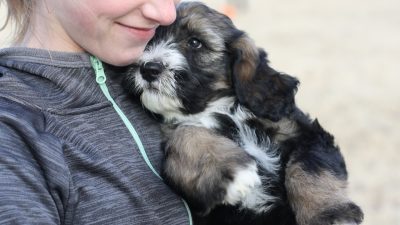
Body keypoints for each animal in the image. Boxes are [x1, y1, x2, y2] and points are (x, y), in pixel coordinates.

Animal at [123, 1, 364, 225]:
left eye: (195, 42)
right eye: (148, 41)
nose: (149, 69)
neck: (216, 108)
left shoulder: (306, 133)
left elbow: (310, 167)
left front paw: (330, 214)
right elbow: (187, 133)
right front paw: (231, 171)